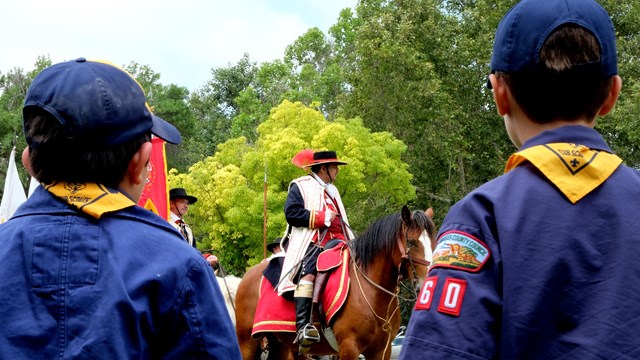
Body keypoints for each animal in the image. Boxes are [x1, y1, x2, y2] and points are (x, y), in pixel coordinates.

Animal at [235, 205, 436, 360]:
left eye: (434, 242)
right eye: (412, 242)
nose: (427, 282)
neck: (372, 291)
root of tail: (248, 275)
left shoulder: (382, 350)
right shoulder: (349, 347)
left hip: (281, 343)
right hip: (248, 342)